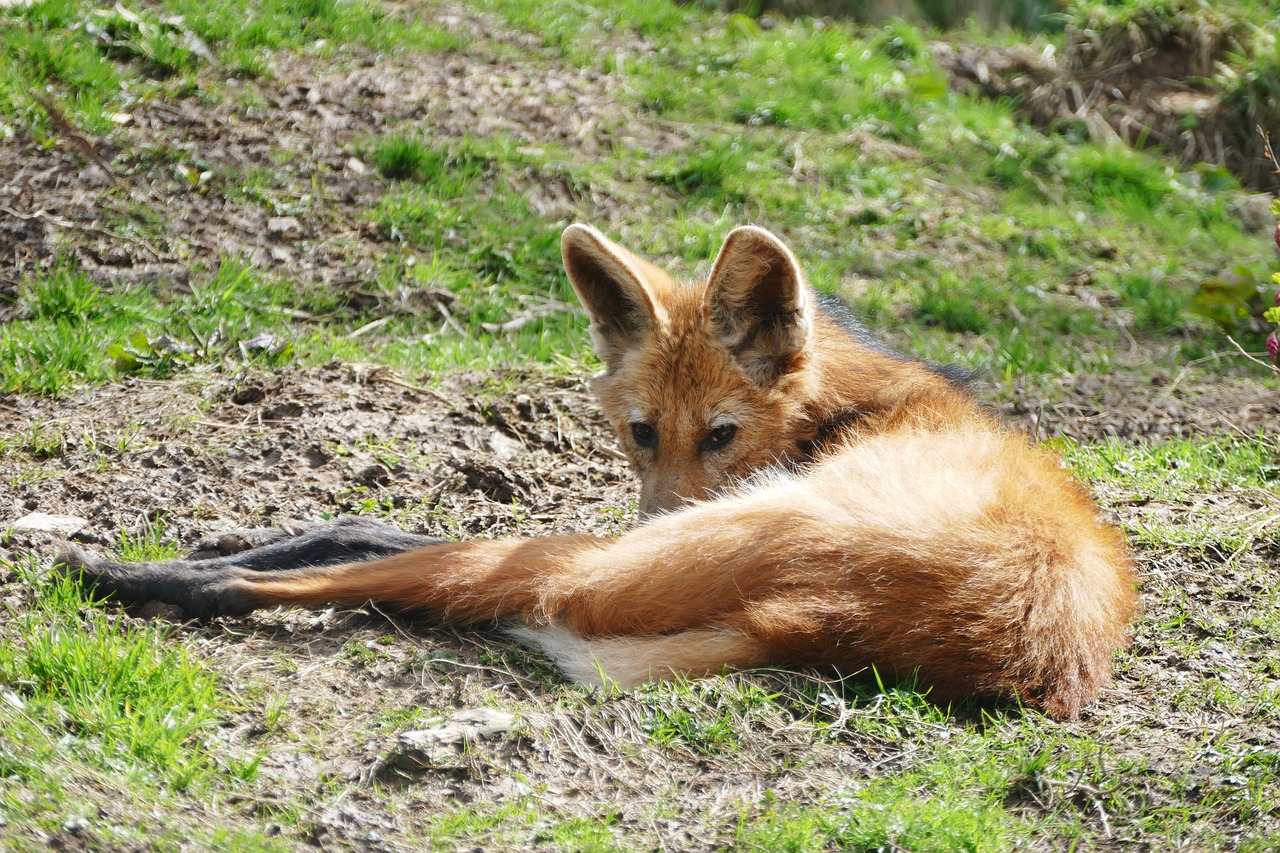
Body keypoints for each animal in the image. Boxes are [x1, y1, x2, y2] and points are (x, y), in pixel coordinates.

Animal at [64, 222, 1136, 712]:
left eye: (720, 434)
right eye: (641, 431)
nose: (658, 509)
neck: (850, 407)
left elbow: (372, 533)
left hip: (641, 559)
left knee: (413, 569)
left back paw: (136, 574)